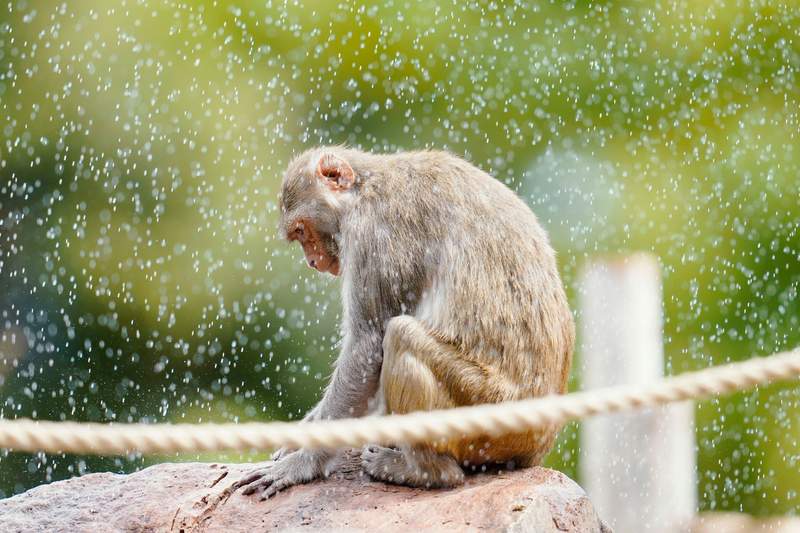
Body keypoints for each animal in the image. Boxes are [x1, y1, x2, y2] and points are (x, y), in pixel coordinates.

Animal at [234, 147, 574, 499]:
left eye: (302, 230)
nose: (313, 261)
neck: (366, 185)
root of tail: (538, 445)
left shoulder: (374, 236)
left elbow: (367, 346)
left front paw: (304, 463)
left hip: (486, 414)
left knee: (401, 334)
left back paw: (426, 472)